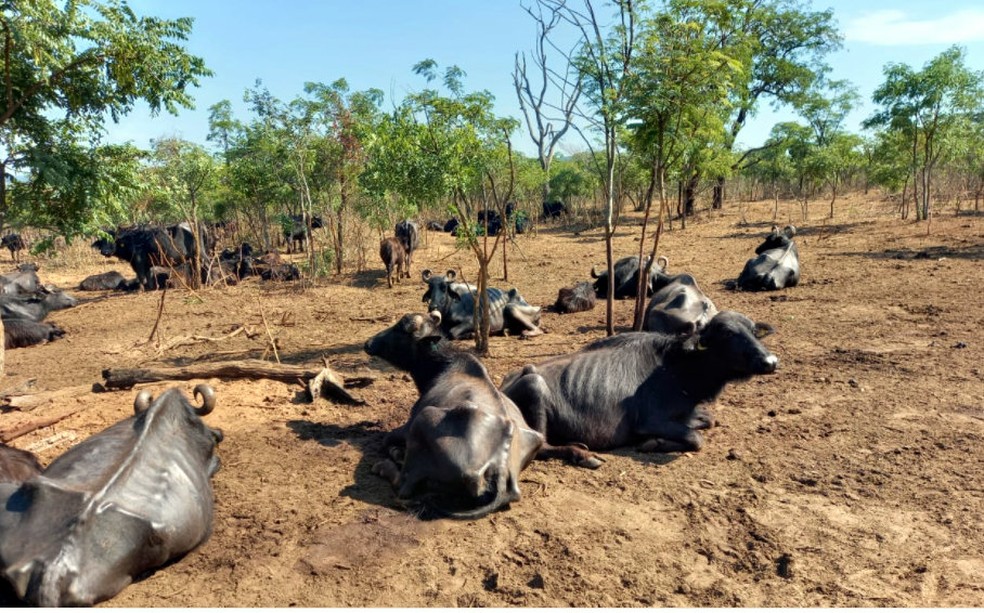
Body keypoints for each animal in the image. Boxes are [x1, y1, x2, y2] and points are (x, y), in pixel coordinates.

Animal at [364, 310, 544, 516]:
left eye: (400, 328)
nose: (368, 343)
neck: (441, 365)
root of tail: (500, 467)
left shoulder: (408, 423)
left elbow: (386, 440)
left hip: (424, 417)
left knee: (403, 486)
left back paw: (386, 464)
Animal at [504, 310, 780, 464]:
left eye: (753, 331)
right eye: (727, 334)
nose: (770, 361)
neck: (677, 368)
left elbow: (708, 420)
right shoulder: (649, 421)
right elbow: (696, 438)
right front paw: (653, 444)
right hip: (534, 384)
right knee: (541, 446)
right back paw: (584, 455)